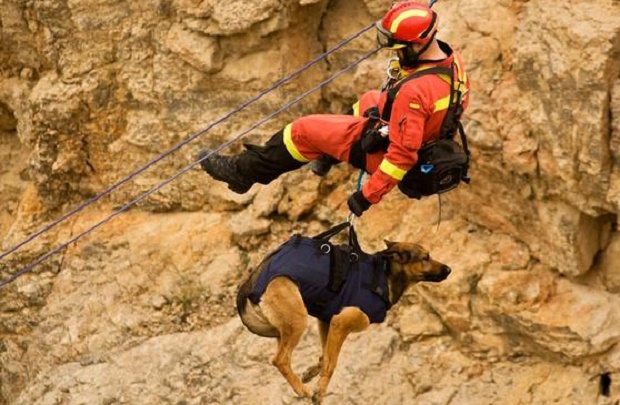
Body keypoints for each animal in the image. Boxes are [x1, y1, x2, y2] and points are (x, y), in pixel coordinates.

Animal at [236, 237, 450, 400]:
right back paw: (301, 390)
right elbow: (331, 364)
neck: (384, 276)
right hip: (298, 321)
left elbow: (324, 357)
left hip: (284, 328)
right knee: (280, 359)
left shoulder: (328, 322)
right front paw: (319, 392)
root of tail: (254, 279)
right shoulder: (340, 324)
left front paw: (311, 374)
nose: (449, 269)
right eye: (426, 257)